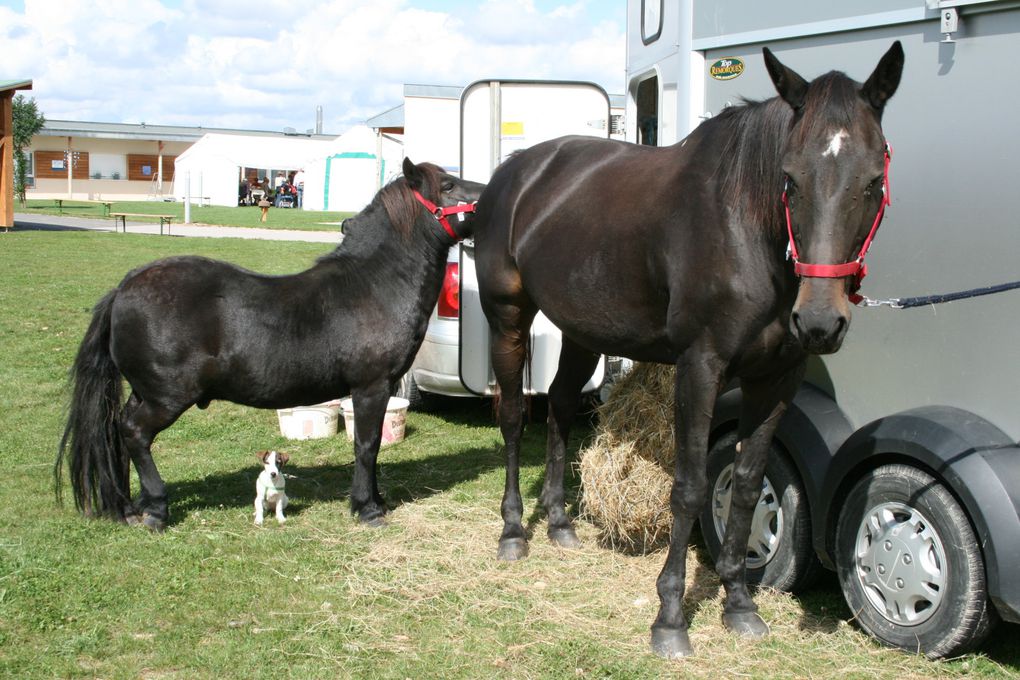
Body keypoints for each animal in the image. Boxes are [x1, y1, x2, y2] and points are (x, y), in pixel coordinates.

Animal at [56, 160, 485, 530]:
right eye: (448, 186)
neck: (373, 284)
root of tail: (124, 289)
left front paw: (375, 500)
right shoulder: (370, 387)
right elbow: (367, 445)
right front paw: (367, 508)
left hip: (146, 392)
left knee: (120, 430)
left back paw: (131, 505)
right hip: (167, 397)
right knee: (134, 433)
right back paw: (156, 509)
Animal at [469, 43, 901, 660]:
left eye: (873, 179)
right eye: (790, 179)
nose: (820, 321)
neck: (746, 229)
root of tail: (516, 171)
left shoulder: (778, 378)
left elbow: (745, 486)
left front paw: (739, 604)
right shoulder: (700, 367)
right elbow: (691, 487)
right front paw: (670, 616)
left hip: (580, 330)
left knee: (558, 404)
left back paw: (557, 522)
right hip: (508, 315)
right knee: (511, 416)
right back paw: (512, 532)